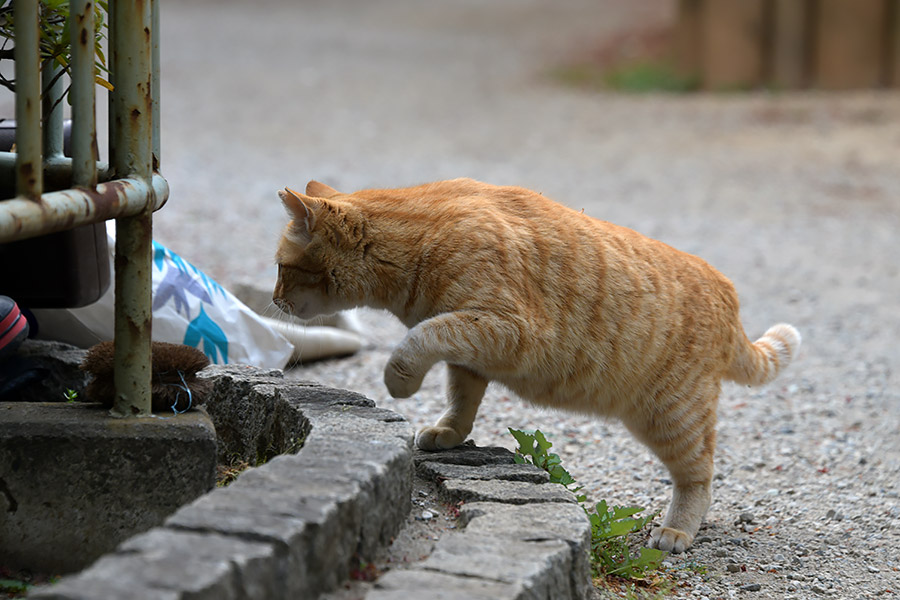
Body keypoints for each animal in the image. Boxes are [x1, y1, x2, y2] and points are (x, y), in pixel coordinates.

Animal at [270, 178, 800, 552]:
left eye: (280, 267)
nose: (273, 300)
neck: (417, 241)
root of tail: (728, 293)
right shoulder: (472, 349)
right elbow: (460, 397)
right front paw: (448, 432)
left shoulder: (504, 329)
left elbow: (418, 339)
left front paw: (398, 378)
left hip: (672, 415)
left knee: (700, 475)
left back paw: (677, 531)